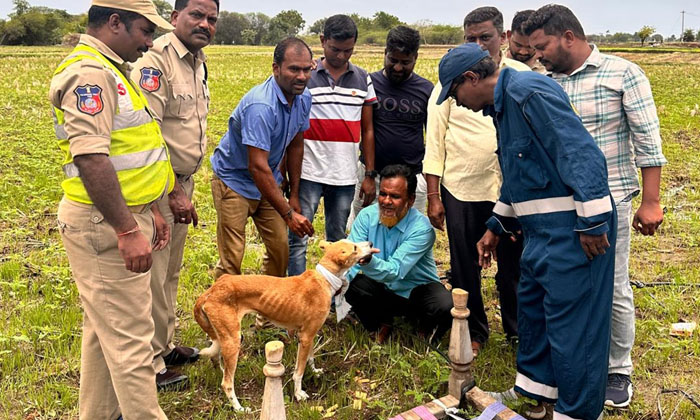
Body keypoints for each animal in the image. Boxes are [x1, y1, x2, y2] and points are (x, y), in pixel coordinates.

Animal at [194, 240, 374, 410]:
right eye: (355, 247)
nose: (371, 243)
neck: (325, 278)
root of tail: (209, 292)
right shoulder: (306, 337)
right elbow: (299, 372)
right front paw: (299, 394)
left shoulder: (309, 335)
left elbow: (310, 358)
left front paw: (315, 372)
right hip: (233, 340)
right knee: (226, 383)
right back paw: (239, 408)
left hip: (222, 337)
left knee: (217, 362)